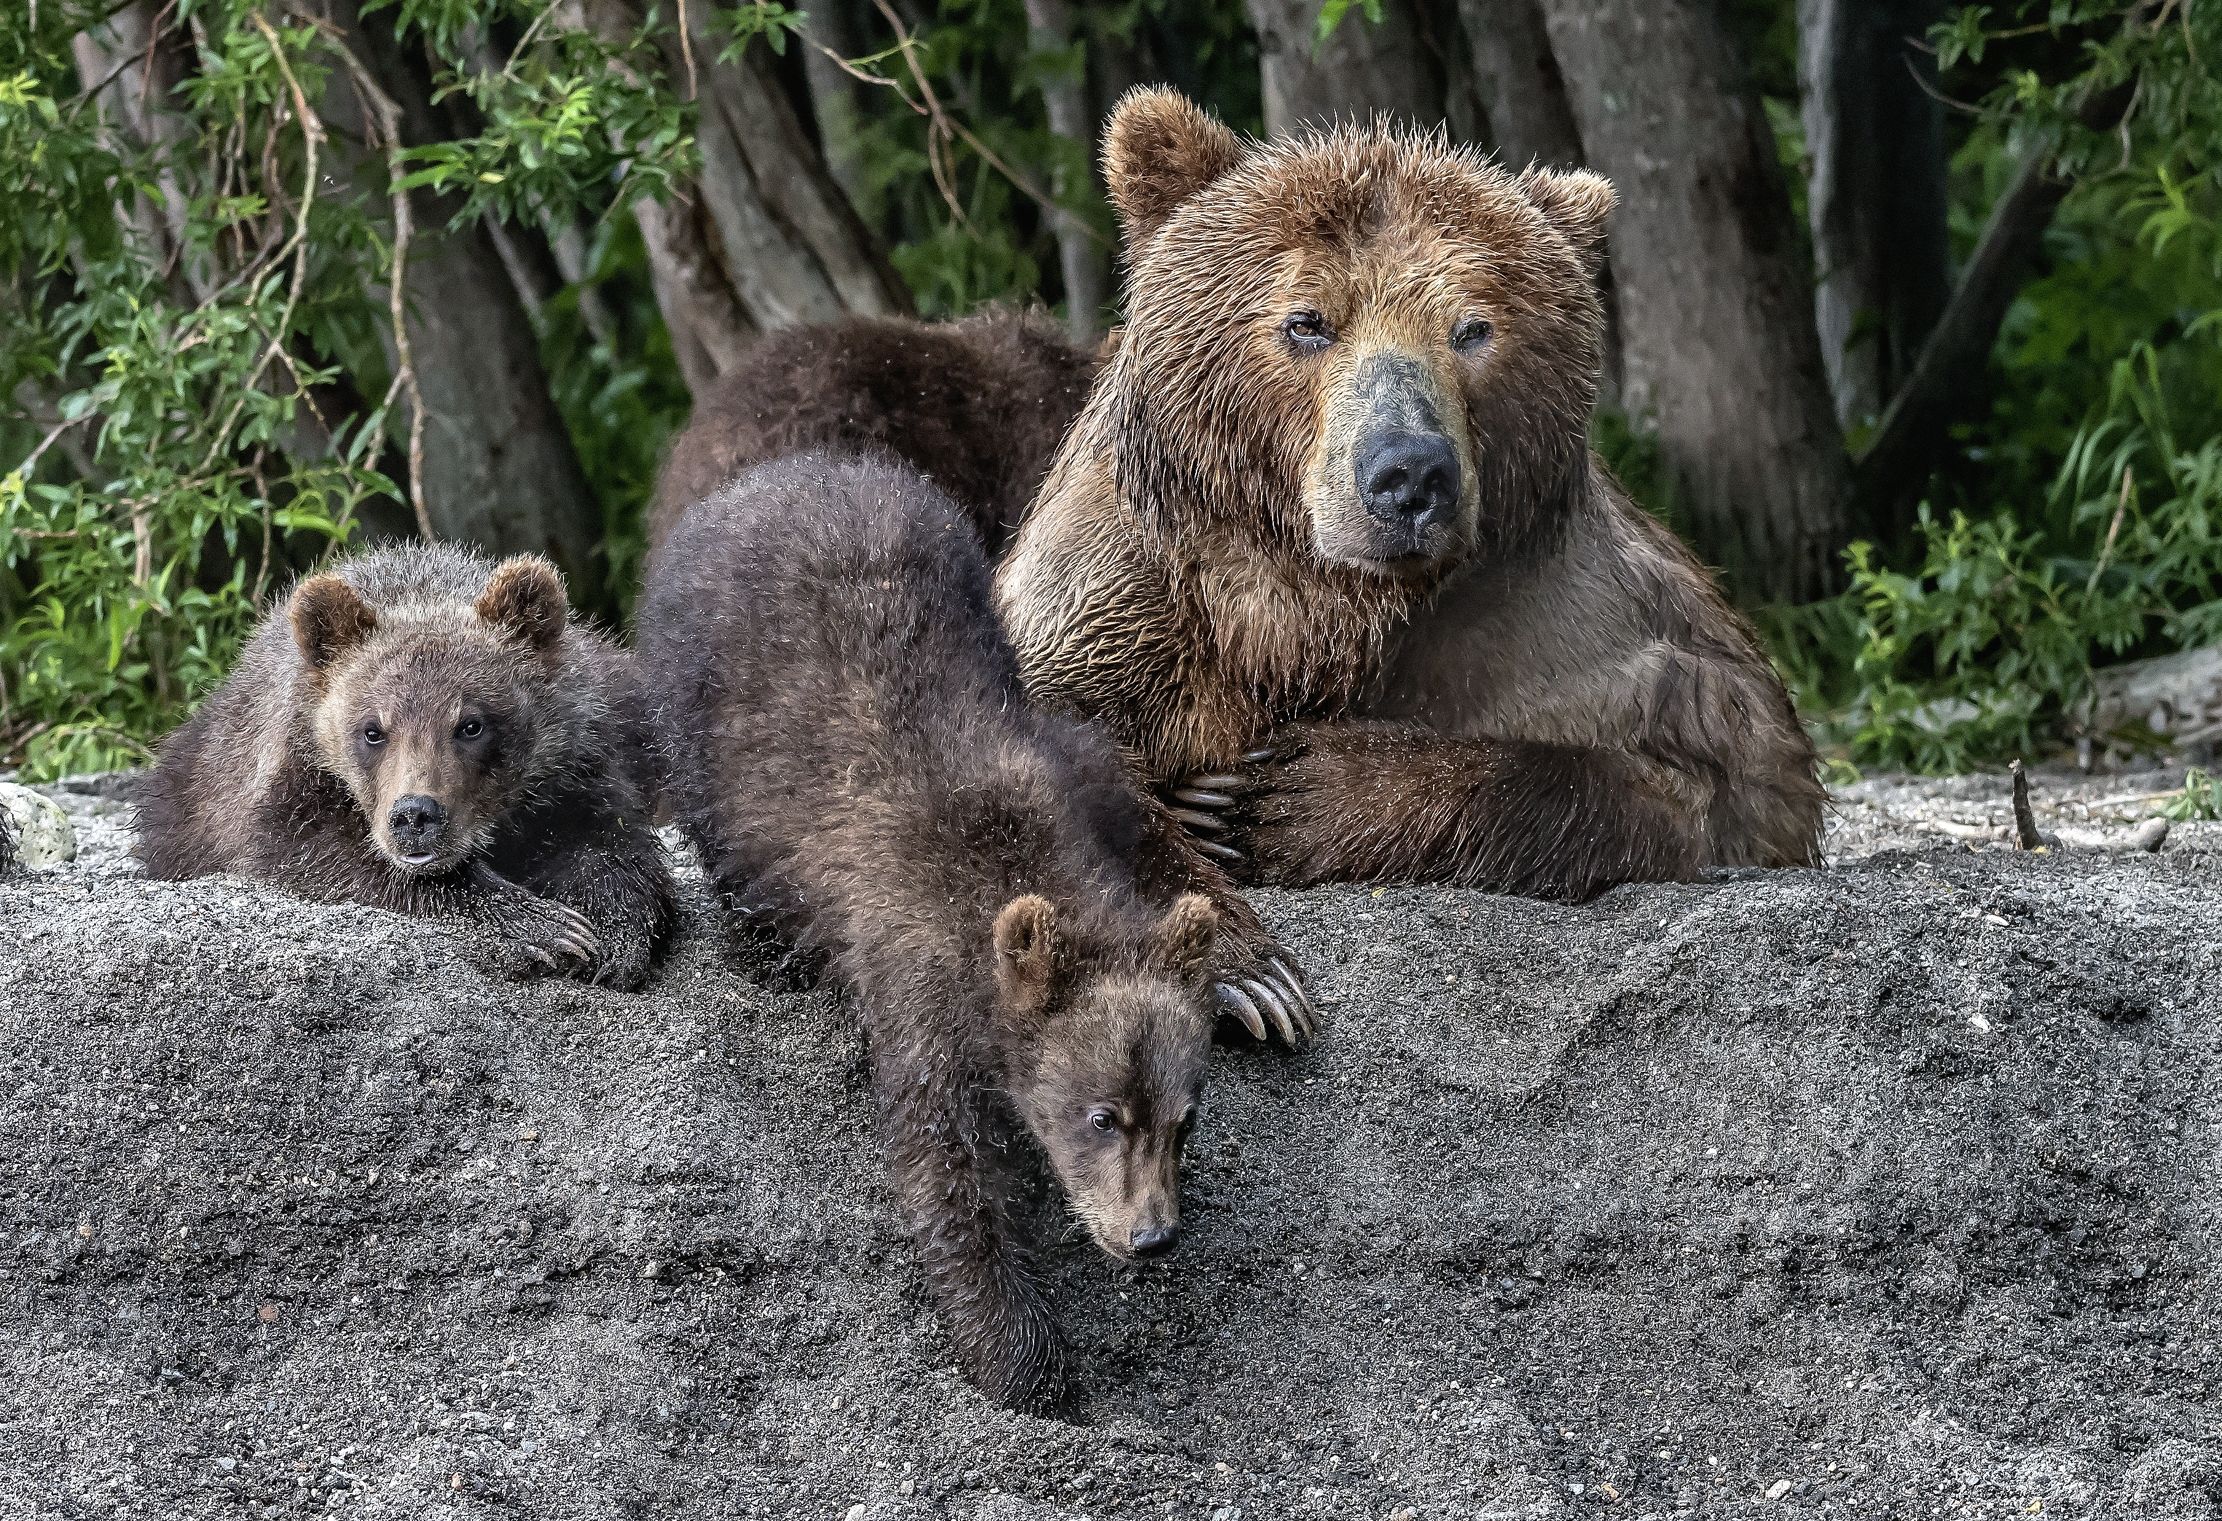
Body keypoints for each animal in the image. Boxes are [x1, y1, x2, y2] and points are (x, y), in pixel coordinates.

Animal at [134, 543, 676, 989]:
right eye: (373, 730)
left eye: (471, 724)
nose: (416, 815)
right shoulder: (285, 780)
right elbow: (321, 850)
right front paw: (544, 927)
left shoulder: (572, 766)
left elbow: (607, 841)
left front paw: (611, 932)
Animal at [637, 451, 1238, 1412]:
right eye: (1103, 1114)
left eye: (1186, 1116)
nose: (1152, 1234)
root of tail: (773, 474)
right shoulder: (915, 972)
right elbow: (946, 1168)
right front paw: (1027, 1358)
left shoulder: (1070, 776)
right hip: (703, 712)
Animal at [990, 88, 1826, 902]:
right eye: (1306, 321)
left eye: (1474, 328)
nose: (1410, 474)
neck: (1312, 614)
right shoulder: (1120, 611)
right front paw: (1199, 811)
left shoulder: (1583, 630)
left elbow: (1705, 777)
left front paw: (1280, 801)